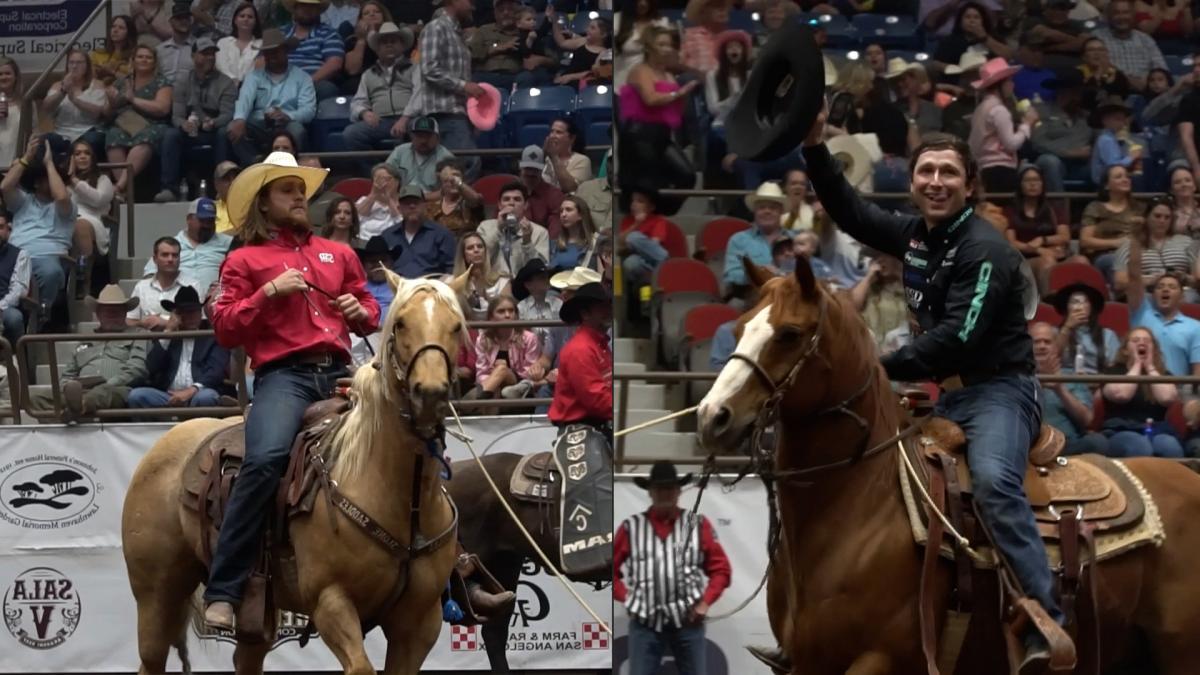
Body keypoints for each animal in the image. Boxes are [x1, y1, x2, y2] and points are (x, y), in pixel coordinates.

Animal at [120, 269, 468, 672]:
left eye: (456, 326)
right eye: (400, 323)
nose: (429, 392)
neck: (397, 495)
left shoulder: (420, 622)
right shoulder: (331, 600)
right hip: (156, 591)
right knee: (151, 657)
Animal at [691, 255, 1200, 667]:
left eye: (790, 334)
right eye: (739, 328)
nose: (712, 416)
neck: (860, 503)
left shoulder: (880, 659)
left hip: (1179, 653)